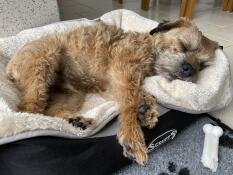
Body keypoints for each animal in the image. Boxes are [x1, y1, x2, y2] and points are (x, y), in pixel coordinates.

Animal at [6, 17, 218, 165]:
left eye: (202, 65)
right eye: (183, 45)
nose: (189, 69)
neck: (149, 50)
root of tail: (10, 65)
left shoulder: (112, 84)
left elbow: (134, 95)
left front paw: (146, 108)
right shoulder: (122, 70)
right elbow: (129, 102)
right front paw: (133, 134)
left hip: (71, 94)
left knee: (49, 110)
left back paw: (74, 120)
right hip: (44, 61)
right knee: (30, 109)